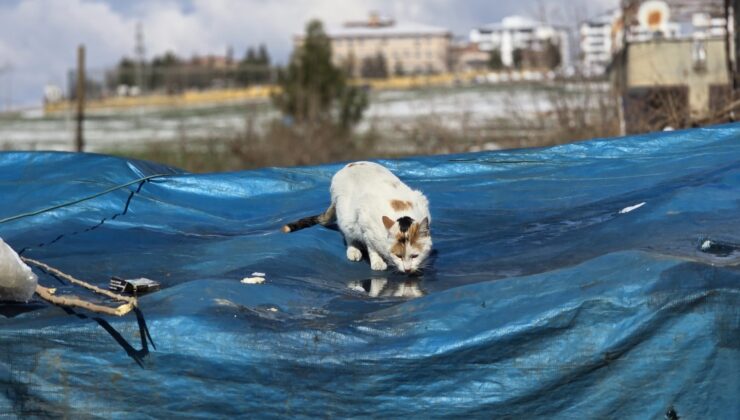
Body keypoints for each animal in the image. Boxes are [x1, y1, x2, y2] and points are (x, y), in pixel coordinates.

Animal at [284, 159, 434, 274]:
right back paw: (354, 251)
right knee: (348, 236)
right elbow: (371, 246)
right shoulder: (365, 221)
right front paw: (377, 262)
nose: (407, 269)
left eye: (415, 256)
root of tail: (349, 165)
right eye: (398, 256)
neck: (402, 214)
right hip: (346, 216)